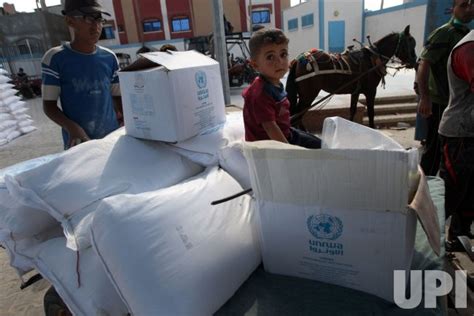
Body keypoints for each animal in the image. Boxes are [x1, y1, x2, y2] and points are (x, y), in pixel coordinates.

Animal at [286, 25, 414, 128]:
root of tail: (298, 60)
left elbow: (352, 110)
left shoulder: (355, 92)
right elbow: (371, 112)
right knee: (296, 116)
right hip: (308, 95)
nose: (414, 62)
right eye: (411, 44)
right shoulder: (371, 91)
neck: (372, 58)